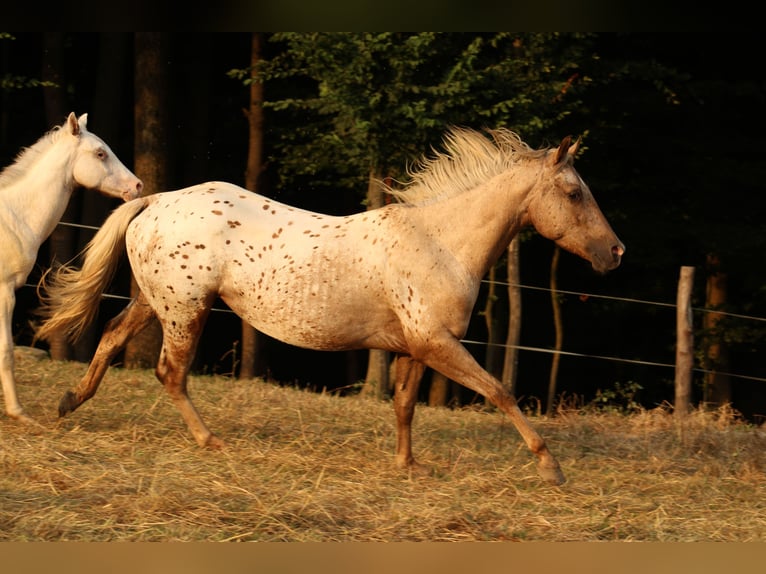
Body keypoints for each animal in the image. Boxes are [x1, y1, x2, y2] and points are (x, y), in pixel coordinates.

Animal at [0, 115, 142, 426]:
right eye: (100, 153)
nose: (137, 186)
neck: (14, 219)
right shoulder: (4, 293)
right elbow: (6, 352)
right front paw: (19, 413)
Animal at [36, 128, 624, 484]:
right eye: (574, 192)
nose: (616, 252)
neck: (440, 242)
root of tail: (157, 199)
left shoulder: (414, 348)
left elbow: (404, 405)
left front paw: (407, 465)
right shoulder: (438, 343)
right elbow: (499, 390)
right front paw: (551, 467)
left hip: (155, 301)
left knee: (112, 337)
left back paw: (68, 402)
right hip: (185, 310)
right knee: (169, 372)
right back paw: (211, 441)